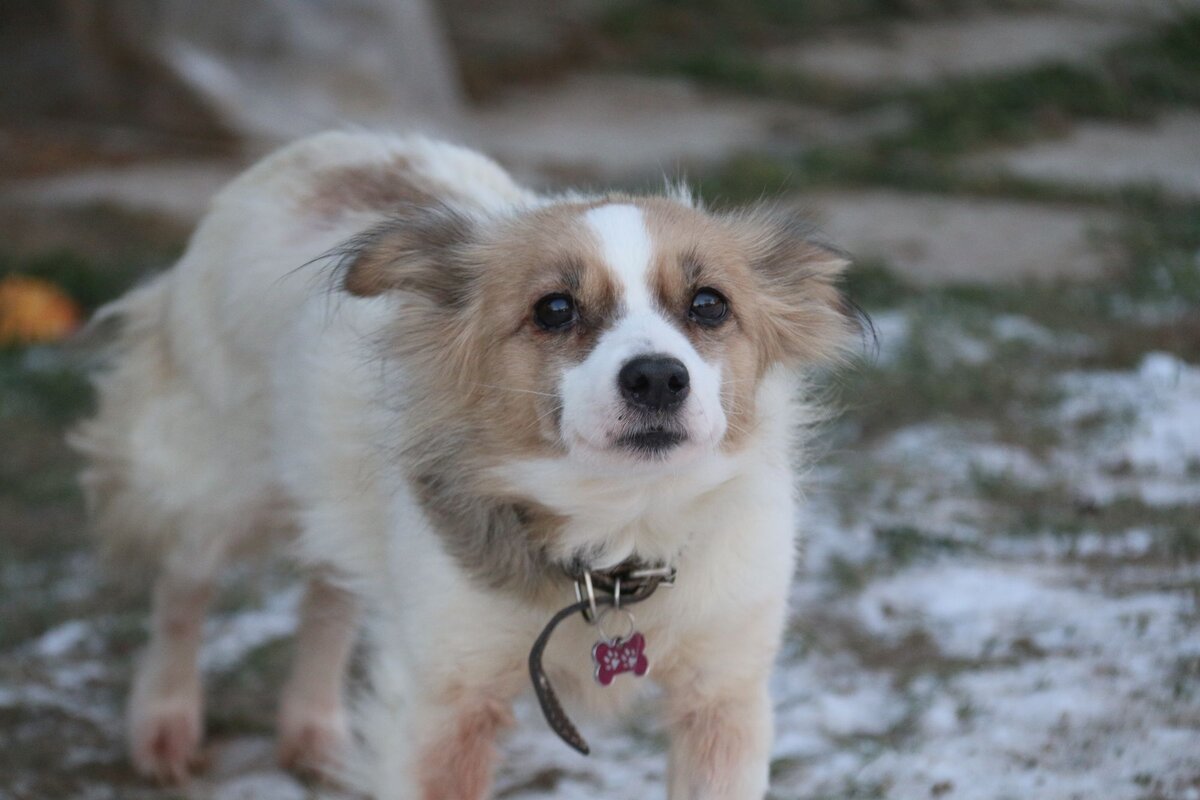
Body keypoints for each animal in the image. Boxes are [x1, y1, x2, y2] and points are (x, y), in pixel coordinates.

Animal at [72, 131, 864, 796]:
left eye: (708, 304)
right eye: (553, 309)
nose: (658, 378)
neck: (617, 538)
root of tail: (328, 145)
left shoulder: (726, 694)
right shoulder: (445, 703)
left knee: (328, 595)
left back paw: (313, 732)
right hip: (216, 481)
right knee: (182, 590)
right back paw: (164, 723)